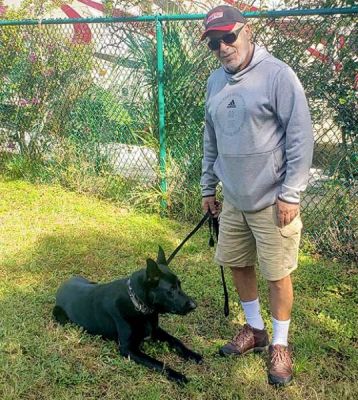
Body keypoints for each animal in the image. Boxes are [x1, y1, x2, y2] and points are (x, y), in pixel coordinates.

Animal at [52, 245, 201, 382]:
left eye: (179, 285)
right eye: (171, 290)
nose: (194, 305)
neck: (138, 305)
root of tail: (64, 284)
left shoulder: (156, 330)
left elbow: (176, 341)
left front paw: (193, 355)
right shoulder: (128, 349)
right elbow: (158, 363)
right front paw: (178, 375)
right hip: (60, 316)